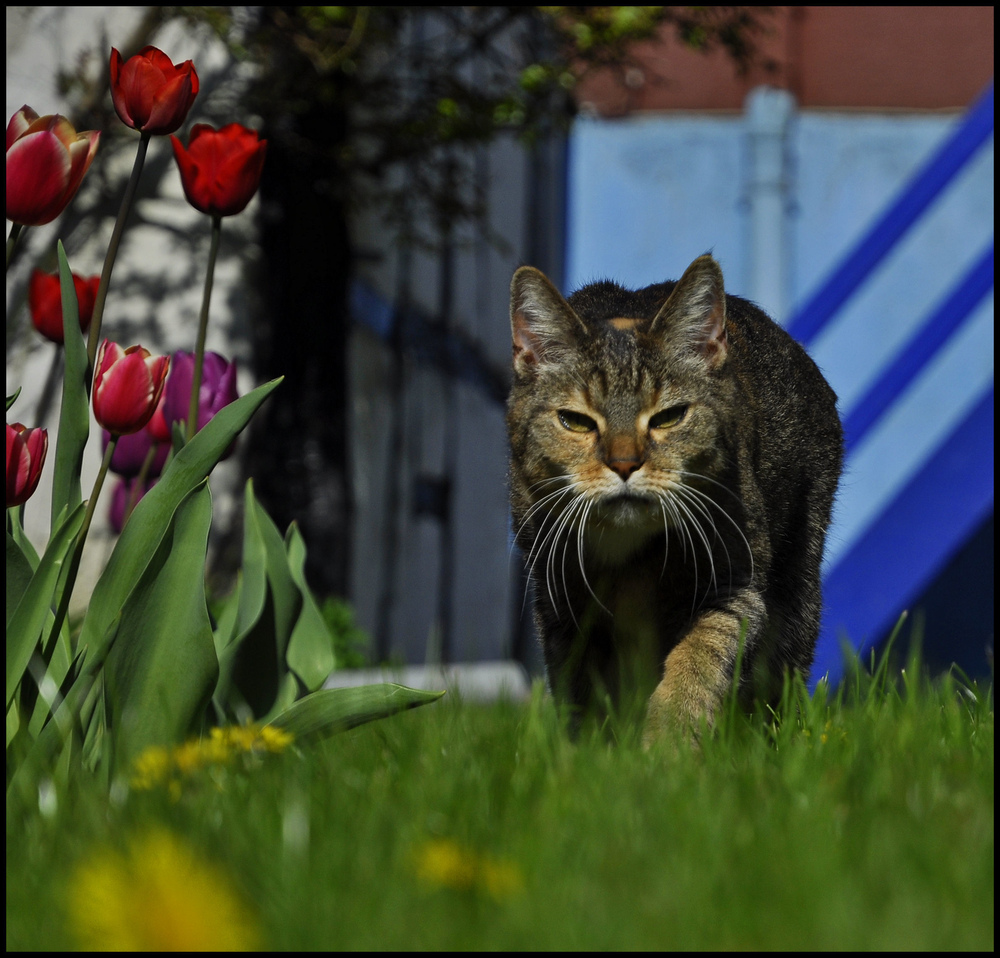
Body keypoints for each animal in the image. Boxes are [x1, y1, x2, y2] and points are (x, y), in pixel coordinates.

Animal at [508, 253, 844, 744]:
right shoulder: (559, 603)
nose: (624, 463)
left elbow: (697, 665)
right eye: (575, 421)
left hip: (797, 592)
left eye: (669, 417)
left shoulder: (734, 587)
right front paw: (591, 754)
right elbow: (580, 692)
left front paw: (669, 747)